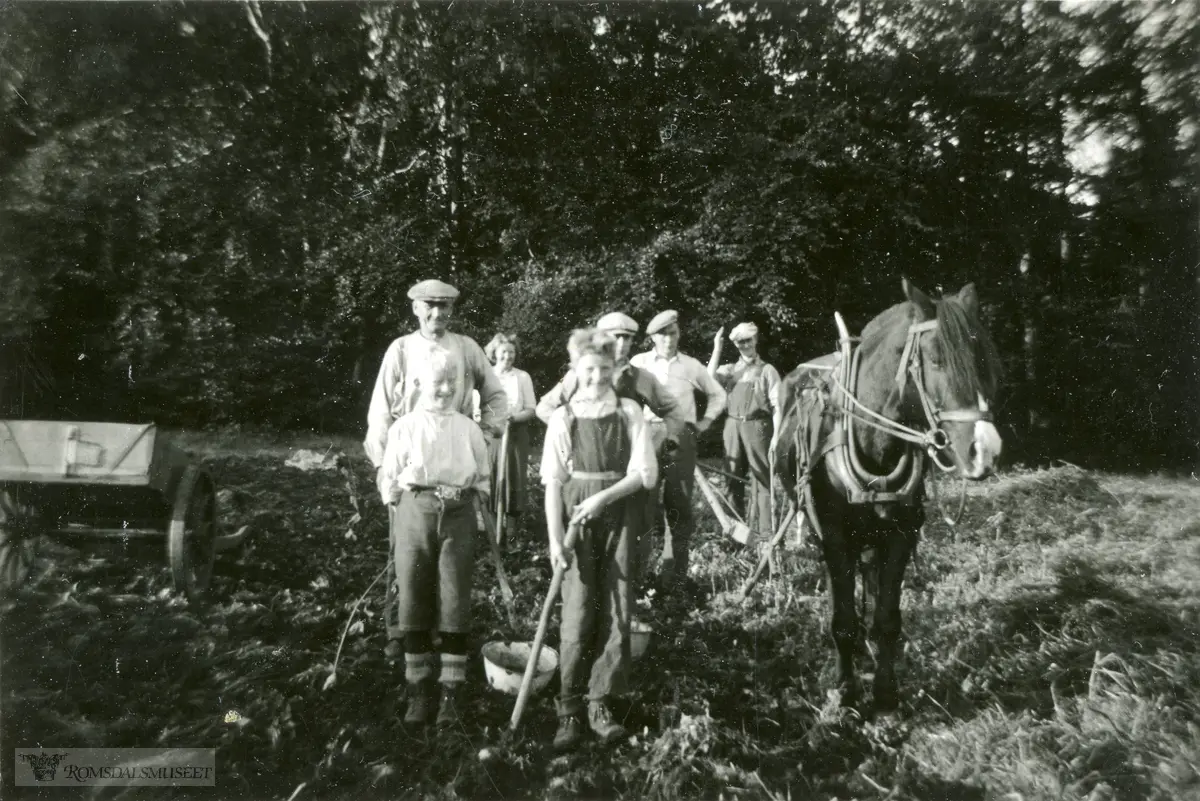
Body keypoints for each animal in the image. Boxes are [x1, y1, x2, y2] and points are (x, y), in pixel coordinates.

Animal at [772, 278, 998, 709]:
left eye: (983, 358)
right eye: (936, 360)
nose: (986, 450)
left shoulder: (901, 534)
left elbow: (888, 617)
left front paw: (885, 691)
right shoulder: (834, 536)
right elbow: (843, 619)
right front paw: (845, 691)